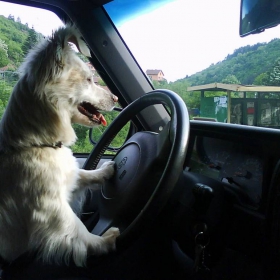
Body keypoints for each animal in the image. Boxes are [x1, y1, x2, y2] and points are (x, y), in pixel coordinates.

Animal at [0, 25, 119, 266]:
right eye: (89, 79)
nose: (116, 98)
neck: (36, 143)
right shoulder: (50, 210)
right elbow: (79, 230)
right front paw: (103, 242)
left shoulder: (67, 176)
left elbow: (84, 174)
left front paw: (105, 170)